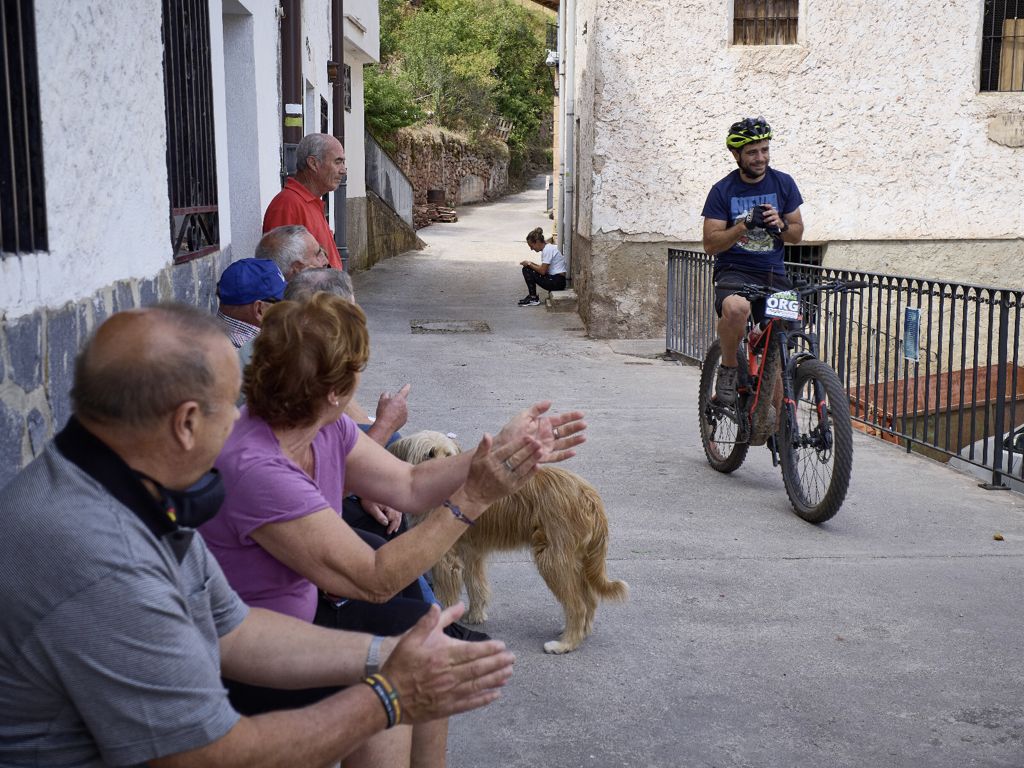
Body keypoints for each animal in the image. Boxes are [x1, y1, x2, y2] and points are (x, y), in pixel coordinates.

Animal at [387, 430, 622, 651]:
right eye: (429, 454)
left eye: (448, 455)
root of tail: (588, 494)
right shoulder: (471, 554)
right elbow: (476, 585)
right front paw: (475, 615)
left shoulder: (447, 560)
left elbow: (446, 598)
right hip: (575, 558)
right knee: (589, 599)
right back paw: (580, 632)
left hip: (554, 559)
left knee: (578, 605)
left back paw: (566, 643)